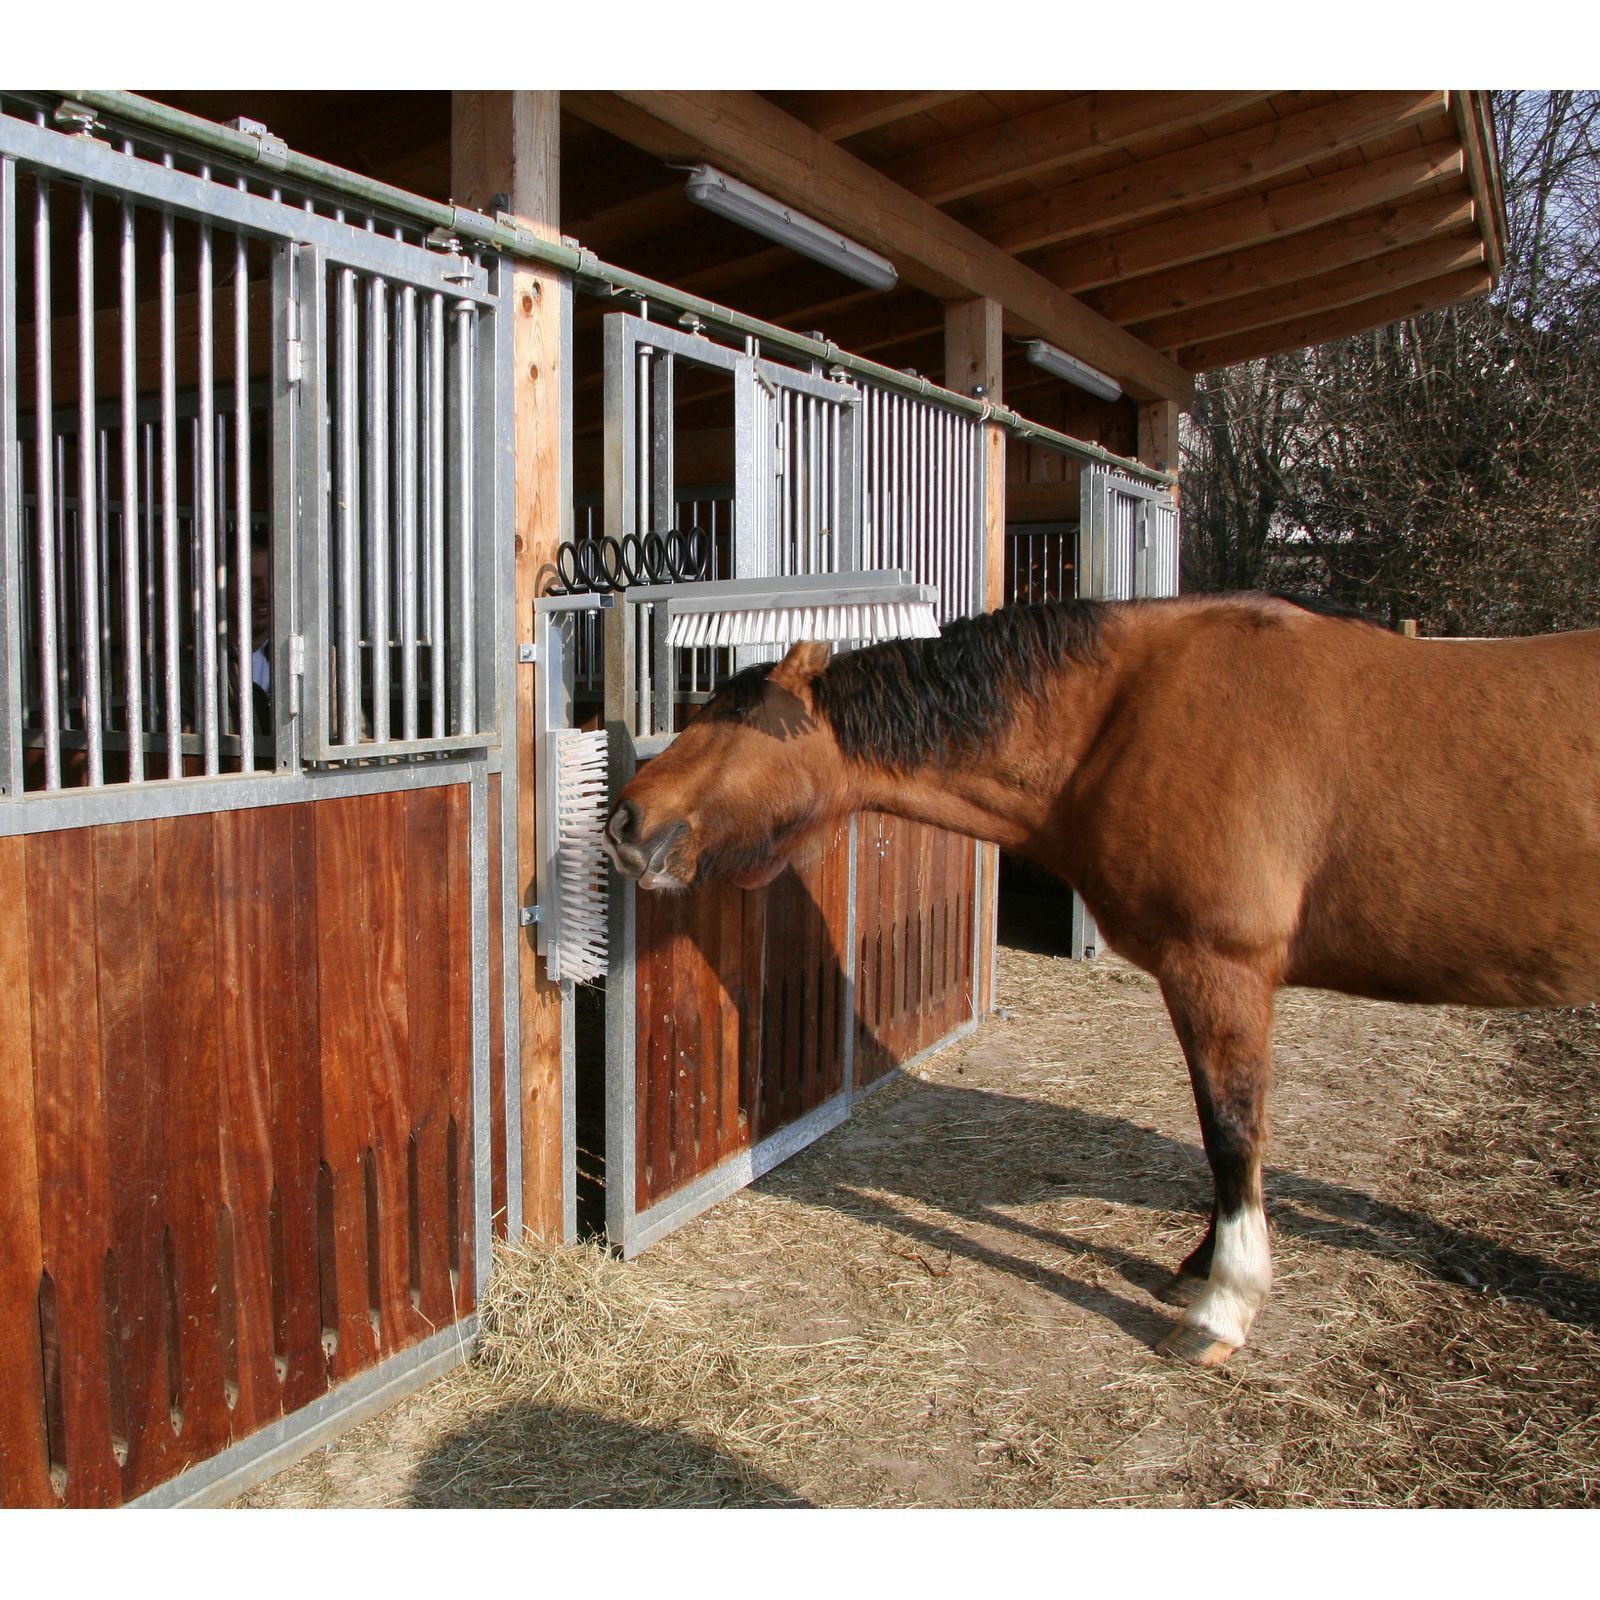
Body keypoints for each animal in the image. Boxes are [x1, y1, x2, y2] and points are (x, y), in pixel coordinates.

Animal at [602, 594, 1600, 1365]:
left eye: (731, 727)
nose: (626, 822)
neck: (1129, 717)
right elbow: (1224, 1137)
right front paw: (1201, 1266)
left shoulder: (1221, 972)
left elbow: (1232, 1133)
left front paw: (1222, 1306)